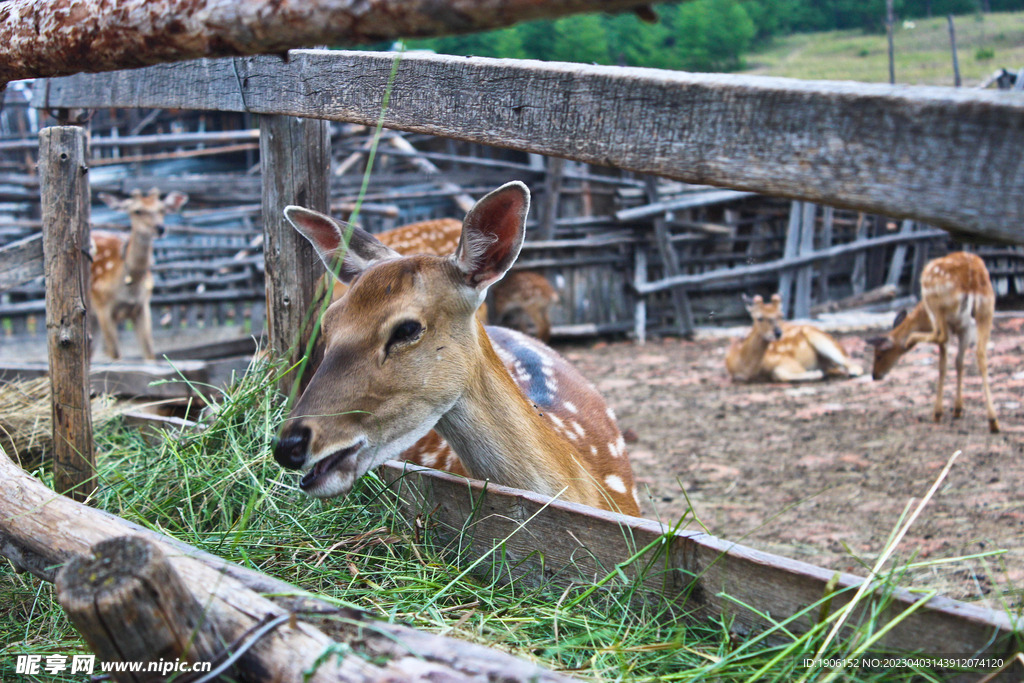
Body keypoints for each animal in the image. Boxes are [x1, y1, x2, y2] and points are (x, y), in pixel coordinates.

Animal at [90, 184, 188, 360]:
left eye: (162, 209)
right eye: (137, 211)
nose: (160, 228)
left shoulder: (143, 306)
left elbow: (149, 353)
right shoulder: (103, 307)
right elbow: (115, 354)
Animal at [729, 290, 864, 382]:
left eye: (781, 315)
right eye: (759, 317)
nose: (778, 333)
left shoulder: (788, 362)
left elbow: (778, 373)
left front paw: (817, 374)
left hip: (821, 339)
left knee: (852, 365)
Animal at [864, 250, 999, 432]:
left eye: (879, 354)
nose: (875, 375)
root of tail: (971, 280)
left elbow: (942, 365)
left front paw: (939, 412)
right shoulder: (965, 329)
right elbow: (959, 362)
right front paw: (958, 409)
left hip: (938, 306)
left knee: (940, 335)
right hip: (987, 309)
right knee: (981, 354)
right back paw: (993, 421)